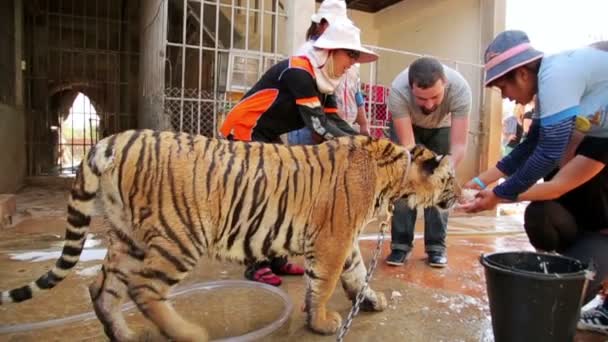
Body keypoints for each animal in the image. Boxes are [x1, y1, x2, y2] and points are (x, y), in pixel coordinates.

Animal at [0, 130, 456, 340]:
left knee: (101, 287)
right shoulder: (333, 238)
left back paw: (125, 334)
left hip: (129, 238)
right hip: (180, 237)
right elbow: (325, 284)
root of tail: (112, 141)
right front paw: (323, 322)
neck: (394, 175)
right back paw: (187, 334)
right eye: (451, 179)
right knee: (144, 289)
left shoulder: (342, 241)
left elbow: (356, 275)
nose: (462, 194)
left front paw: (371, 301)